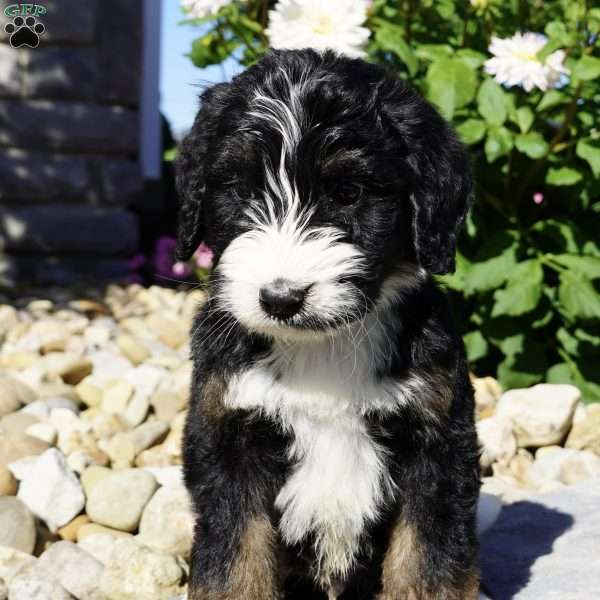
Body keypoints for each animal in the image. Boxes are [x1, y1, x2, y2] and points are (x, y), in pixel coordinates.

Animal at [176, 48, 480, 600]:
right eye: (241, 189)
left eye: (348, 192)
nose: (281, 298)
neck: (323, 347)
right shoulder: (227, 434)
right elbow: (234, 560)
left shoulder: (438, 442)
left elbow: (428, 561)